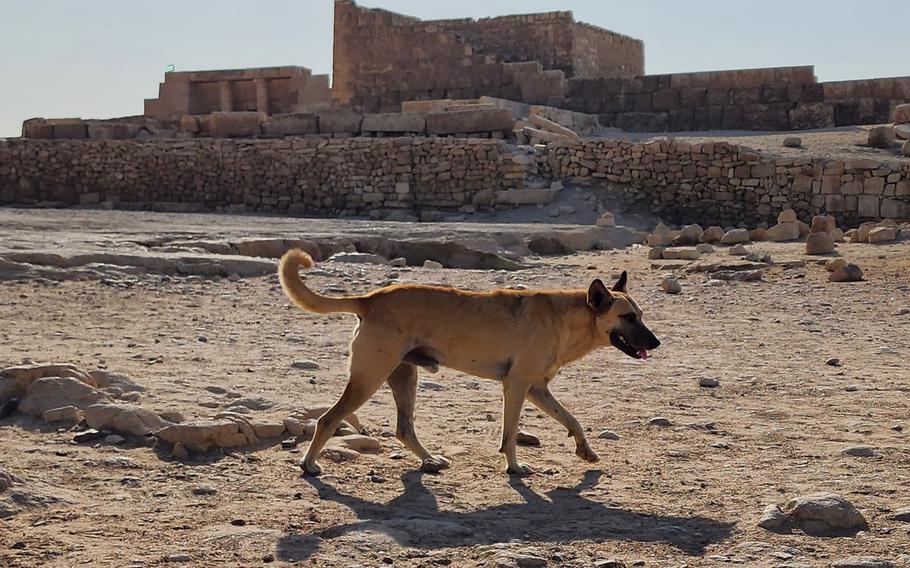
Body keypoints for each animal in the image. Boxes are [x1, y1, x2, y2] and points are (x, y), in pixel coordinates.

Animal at [280, 248, 664, 474]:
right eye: (628, 317)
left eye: (642, 315)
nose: (657, 343)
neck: (567, 317)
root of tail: (370, 298)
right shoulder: (517, 387)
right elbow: (510, 435)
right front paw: (515, 468)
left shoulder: (538, 389)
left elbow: (573, 419)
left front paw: (585, 450)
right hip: (369, 379)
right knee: (328, 420)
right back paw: (309, 465)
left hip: (403, 378)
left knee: (404, 428)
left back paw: (429, 460)